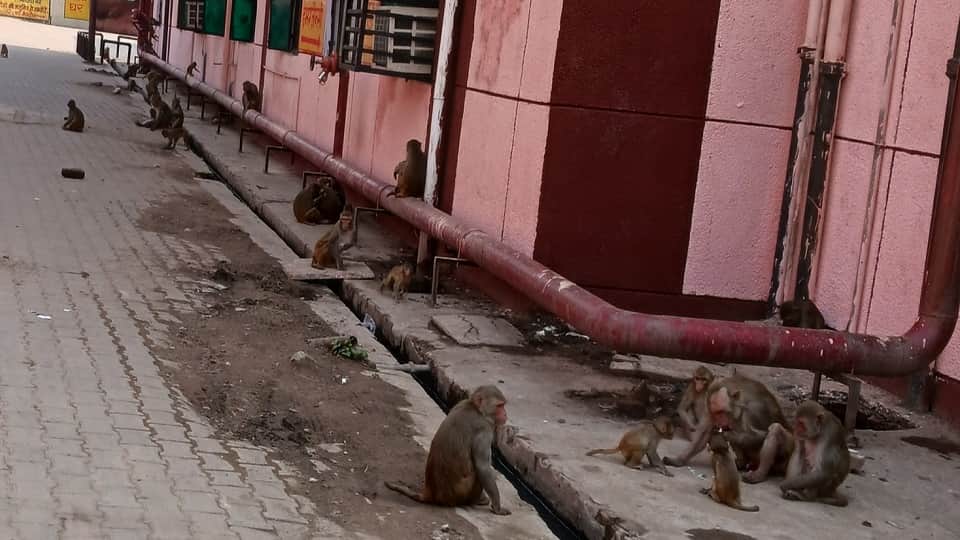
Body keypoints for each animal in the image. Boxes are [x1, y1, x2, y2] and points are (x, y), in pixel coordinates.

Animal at [385, 385, 511, 515]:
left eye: (503, 405)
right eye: (499, 406)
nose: (505, 414)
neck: (476, 408)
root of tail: (430, 494)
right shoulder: (484, 428)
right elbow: (483, 467)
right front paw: (497, 508)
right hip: (460, 494)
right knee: (478, 472)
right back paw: (478, 500)